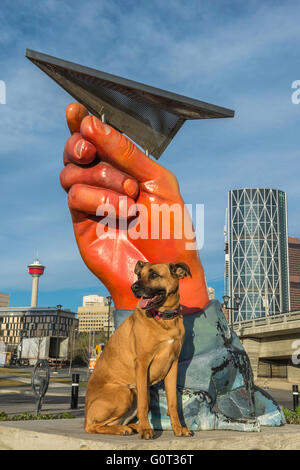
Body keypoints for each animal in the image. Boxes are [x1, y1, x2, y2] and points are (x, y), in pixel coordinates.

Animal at [84, 262, 192, 438]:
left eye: (154, 275)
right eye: (139, 275)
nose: (133, 287)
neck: (164, 318)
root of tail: (86, 415)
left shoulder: (173, 365)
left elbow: (173, 402)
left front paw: (178, 428)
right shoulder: (142, 363)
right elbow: (144, 405)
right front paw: (146, 430)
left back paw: (131, 427)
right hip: (125, 392)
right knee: (93, 426)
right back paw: (126, 429)